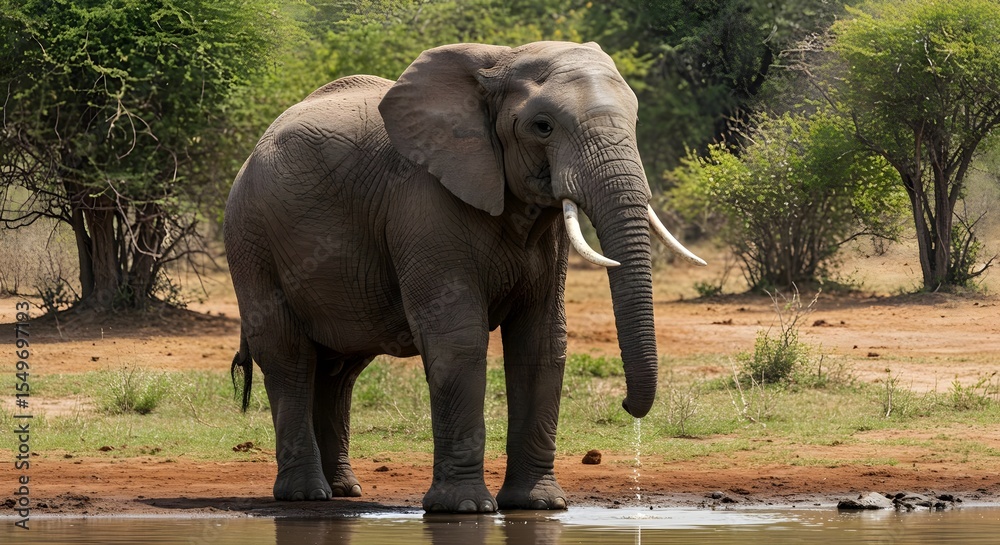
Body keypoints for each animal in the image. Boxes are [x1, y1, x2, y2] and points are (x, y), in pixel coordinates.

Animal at [223, 40, 705, 514]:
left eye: (635, 121)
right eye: (543, 127)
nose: (627, 405)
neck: (501, 62)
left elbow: (542, 341)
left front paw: (539, 505)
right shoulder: (423, 203)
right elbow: (458, 338)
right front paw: (466, 508)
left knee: (339, 369)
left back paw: (344, 490)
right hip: (250, 236)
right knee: (288, 357)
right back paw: (305, 495)